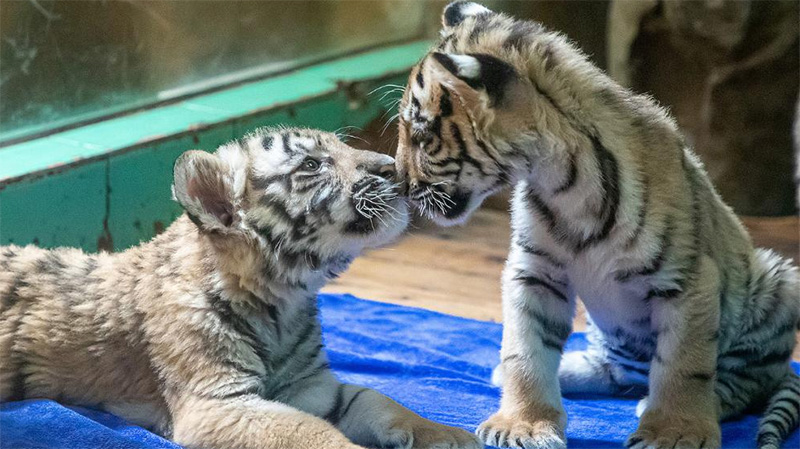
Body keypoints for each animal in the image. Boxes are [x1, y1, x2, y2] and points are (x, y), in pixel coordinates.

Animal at [0, 127, 481, 449]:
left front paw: (450, 434)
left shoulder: (312, 388)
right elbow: (314, 435)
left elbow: (380, 400)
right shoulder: (218, 403)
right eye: (311, 165)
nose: (392, 168)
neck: (285, 299)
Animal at [394, 2, 800, 449]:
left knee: (748, 381)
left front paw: (673, 432)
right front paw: (523, 424)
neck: (561, 183)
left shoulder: (688, 280)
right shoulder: (534, 270)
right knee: (616, 369)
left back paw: (676, 403)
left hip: (780, 283)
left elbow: (683, 365)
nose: (399, 184)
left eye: (422, 135)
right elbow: (525, 349)